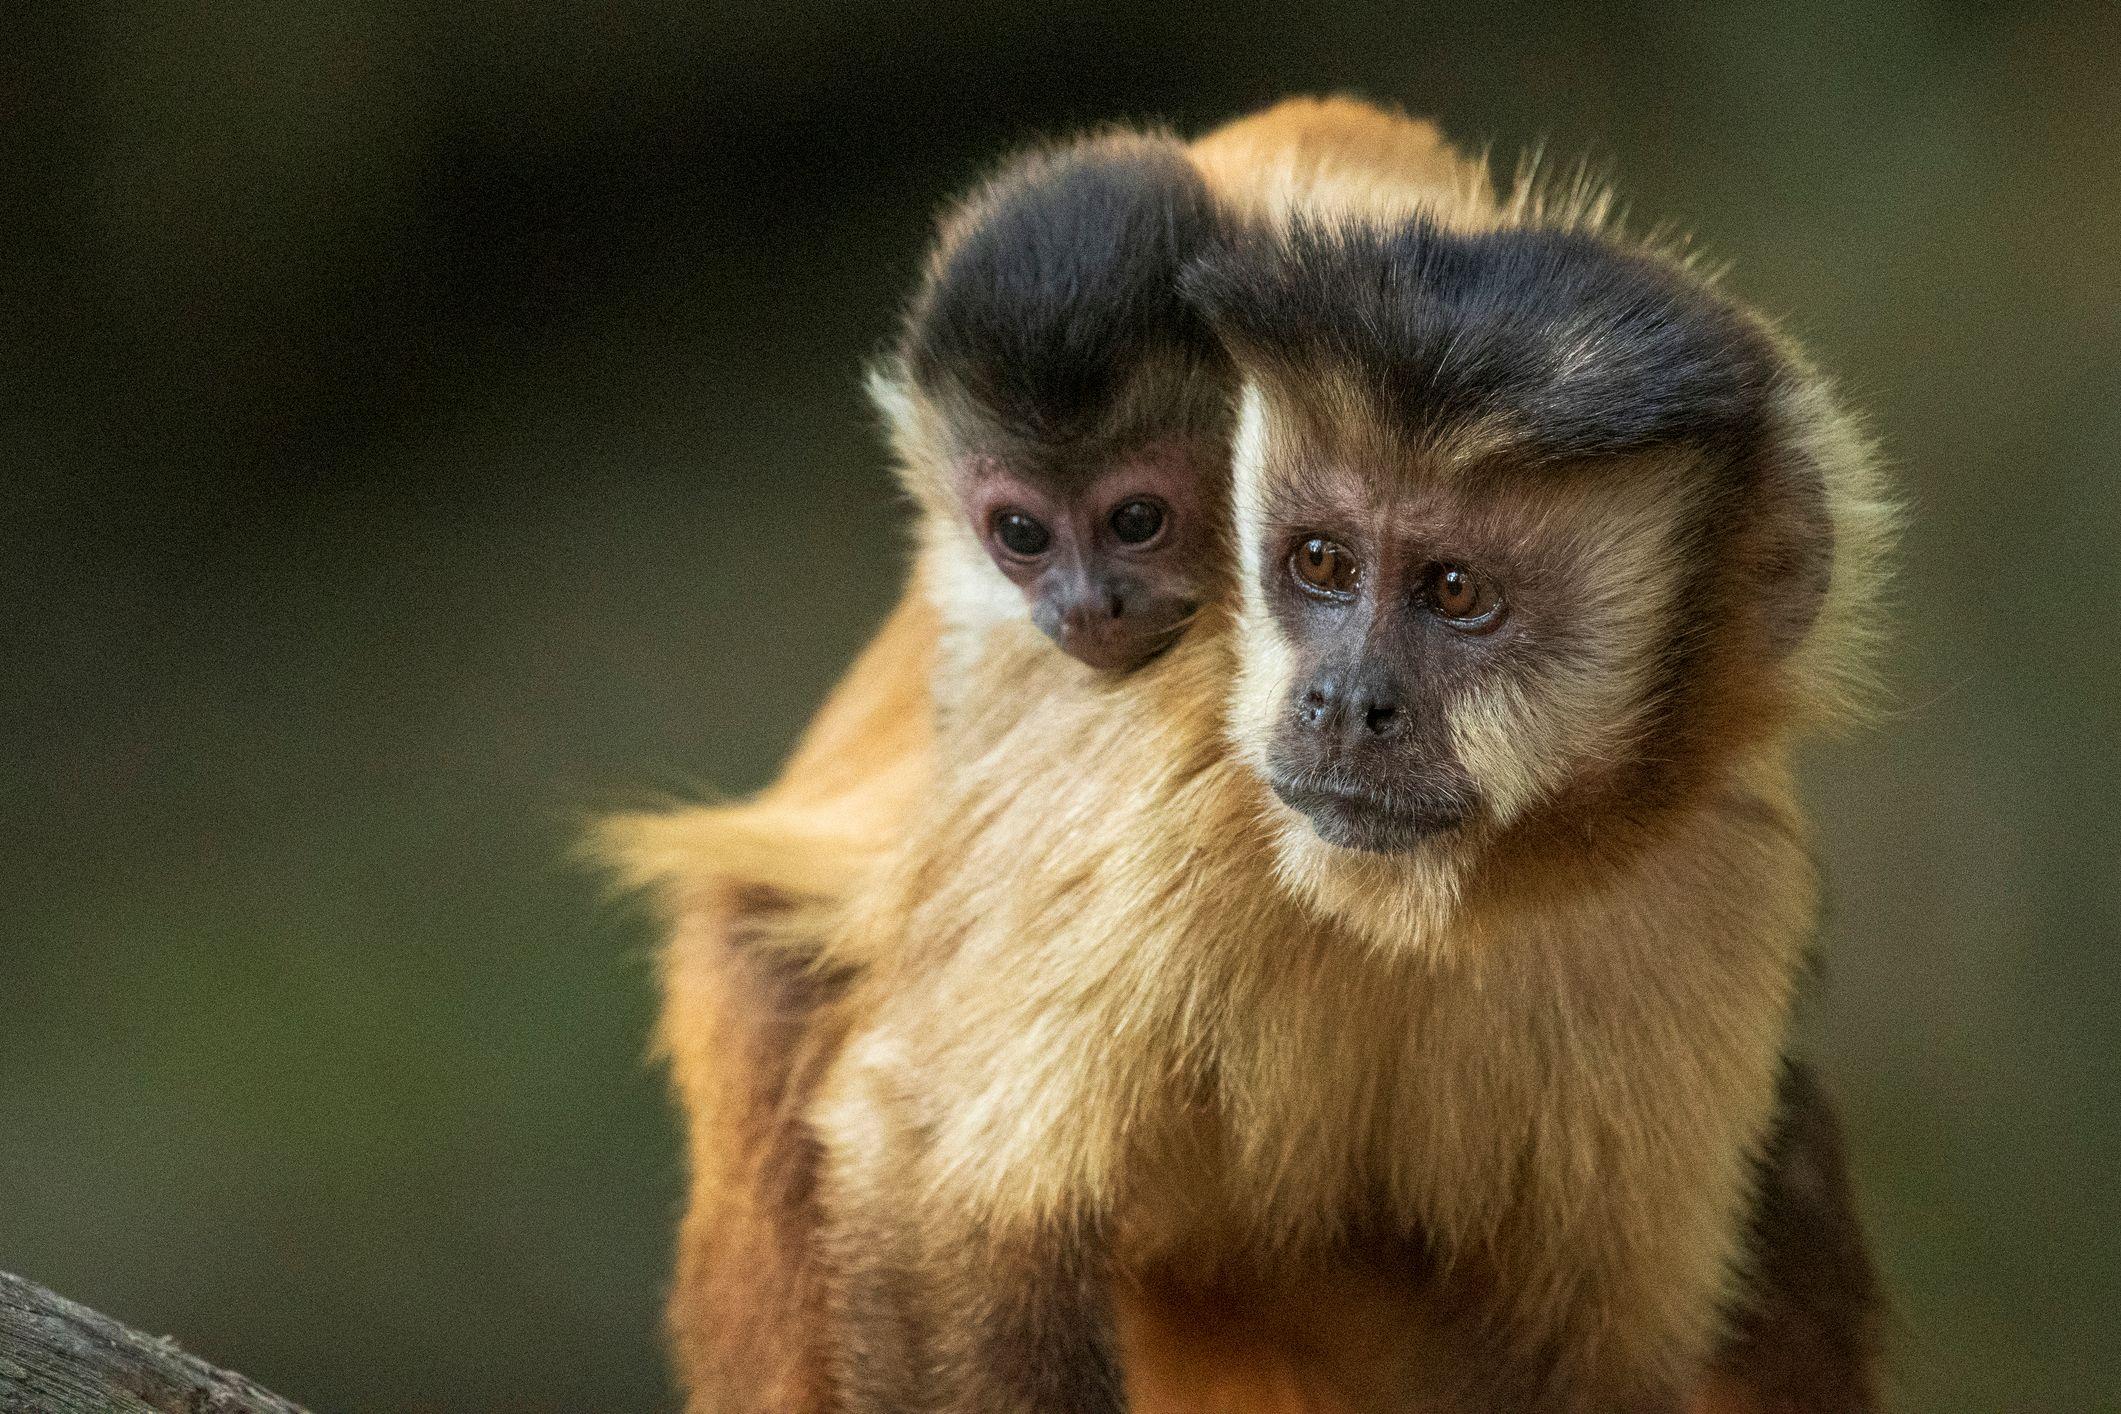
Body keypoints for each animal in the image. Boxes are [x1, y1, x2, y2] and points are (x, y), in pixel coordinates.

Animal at [605, 99, 1889, 1413]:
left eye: (1455, 592)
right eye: (1320, 563)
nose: (1343, 701)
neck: (1452, 895)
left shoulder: (1719, 886)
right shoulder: (1180, 760)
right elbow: (934, 1185)